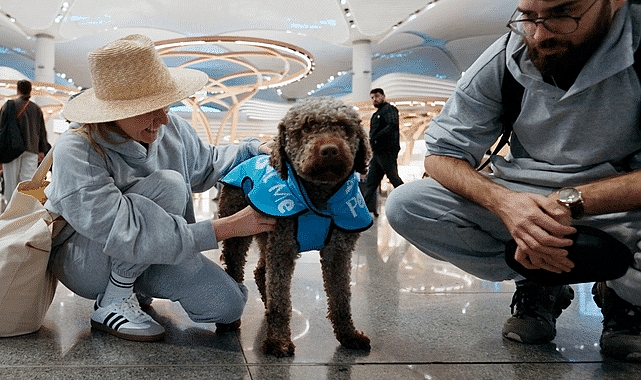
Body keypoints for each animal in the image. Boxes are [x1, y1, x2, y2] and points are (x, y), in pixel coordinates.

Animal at [218, 96, 372, 358]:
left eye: (344, 127)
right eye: (306, 127)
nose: (329, 150)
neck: (318, 198)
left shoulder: (338, 252)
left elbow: (341, 297)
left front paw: (349, 335)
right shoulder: (283, 248)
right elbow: (281, 299)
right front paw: (278, 340)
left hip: (265, 236)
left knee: (260, 271)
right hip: (239, 234)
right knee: (236, 269)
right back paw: (231, 320)